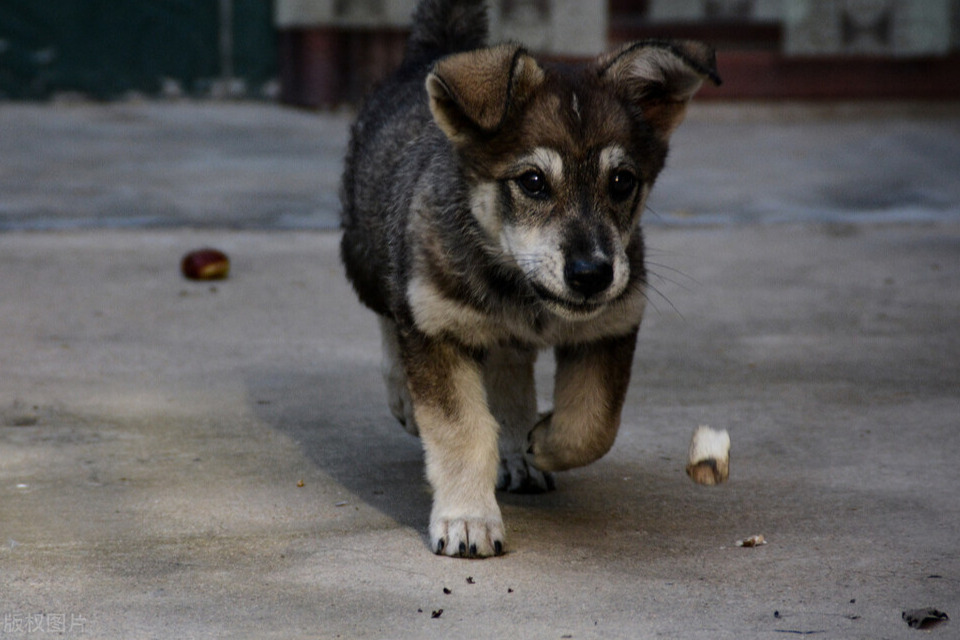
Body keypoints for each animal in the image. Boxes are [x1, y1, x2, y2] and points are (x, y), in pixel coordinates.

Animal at [342, 0, 716, 556]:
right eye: (533, 182)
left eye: (622, 181)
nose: (592, 275)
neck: (520, 291)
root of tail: (435, 53)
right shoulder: (435, 326)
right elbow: (461, 431)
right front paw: (467, 519)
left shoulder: (613, 326)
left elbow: (593, 424)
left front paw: (539, 441)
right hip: (369, 258)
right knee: (389, 315)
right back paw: (406, 398)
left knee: (509, 367)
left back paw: (517, 450)